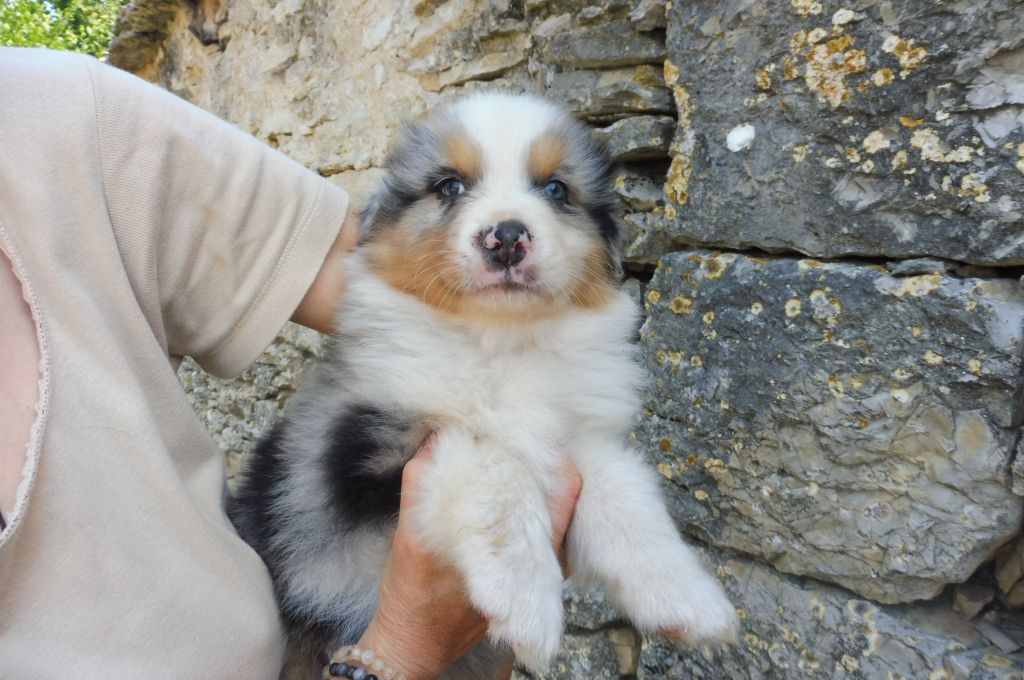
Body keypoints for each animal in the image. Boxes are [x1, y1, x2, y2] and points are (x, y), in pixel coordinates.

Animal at [231, 91, 737, 680]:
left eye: (556, 189)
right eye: (449, 186)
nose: (509, 236)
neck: (499, 342)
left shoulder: (572, 438)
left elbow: (621, 489)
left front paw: (688, 601)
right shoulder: (367, 445)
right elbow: (494, 462)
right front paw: (528, 606)